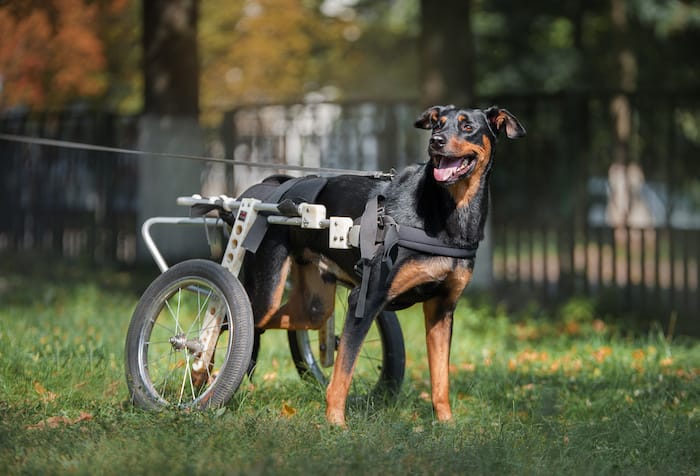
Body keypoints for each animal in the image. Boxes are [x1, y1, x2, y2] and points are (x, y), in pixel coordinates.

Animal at [241, 104, 524, 424]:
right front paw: (336, 424)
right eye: (437, 124)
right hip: (267, 290)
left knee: (285, 320)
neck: (449, 210)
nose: (436, 142)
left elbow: (441, 378)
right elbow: (343, 374)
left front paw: (446, 424)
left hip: (315, 305)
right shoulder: (365, 299)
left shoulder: (442, 309)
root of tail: (272, 189)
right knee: (238, 319)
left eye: (467, 127)